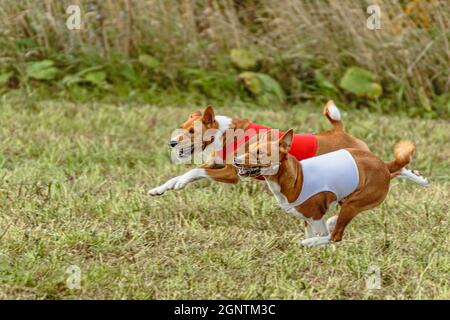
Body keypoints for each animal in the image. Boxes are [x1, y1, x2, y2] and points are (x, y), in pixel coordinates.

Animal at [149, 100, 428, 195]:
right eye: (182, 127)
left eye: (192, 132)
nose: (171, 143)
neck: (224, 133)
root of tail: (339, 130)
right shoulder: (217, 164)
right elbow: (186, 172)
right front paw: (160, 189)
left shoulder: (232, 173)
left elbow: (195, 171)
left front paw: (178, 183)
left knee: (392, 167)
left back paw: (419, 179)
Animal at [234, 129, 416, 246]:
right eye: (249, 149)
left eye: (259, 153)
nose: (236, 159)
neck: (298, 178)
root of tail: (384, 165)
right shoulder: (307, 219)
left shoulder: (315, 217)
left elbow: (322, 234)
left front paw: (311, 243)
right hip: (348, 199)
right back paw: (331, 222)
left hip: (354, 203)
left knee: (335, 236)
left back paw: (311, 241)